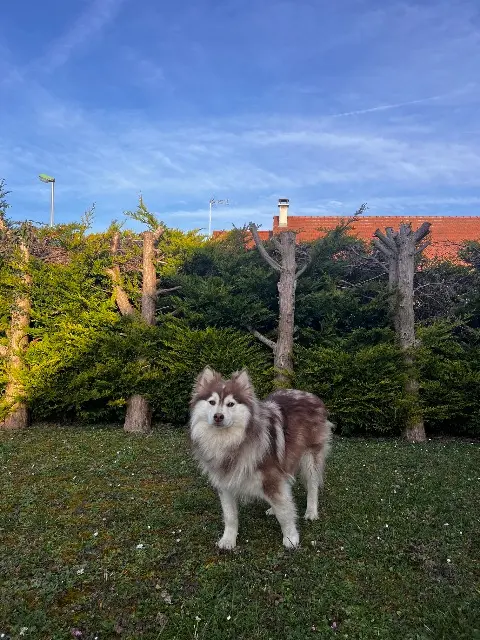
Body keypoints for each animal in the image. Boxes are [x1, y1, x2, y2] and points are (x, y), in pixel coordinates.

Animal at [189, 368, 332, 552]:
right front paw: (228, 540)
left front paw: (291, 538)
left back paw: (311, 511)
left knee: (312, 485)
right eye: (212, 402)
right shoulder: (225, 482)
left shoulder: (272, 476)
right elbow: (230, 515)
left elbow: (285, 513)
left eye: (230, 404)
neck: (230, 441)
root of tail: (310, 395)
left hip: (310, 457)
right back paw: (272, 508)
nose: (218, 416)